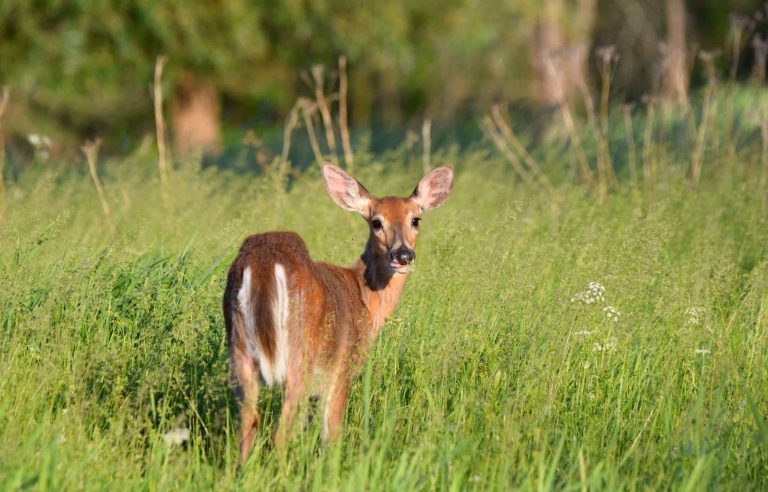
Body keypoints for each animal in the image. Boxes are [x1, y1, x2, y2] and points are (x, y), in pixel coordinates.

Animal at [222, 163, 452, 460]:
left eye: (416, 219)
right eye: (376, 222)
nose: (403, 255)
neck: (364, 298)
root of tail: (262, 262)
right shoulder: (342, 369)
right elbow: (331, 435)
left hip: (239, 350)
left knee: (248, 426)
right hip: (300, 357)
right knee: (280, 434)